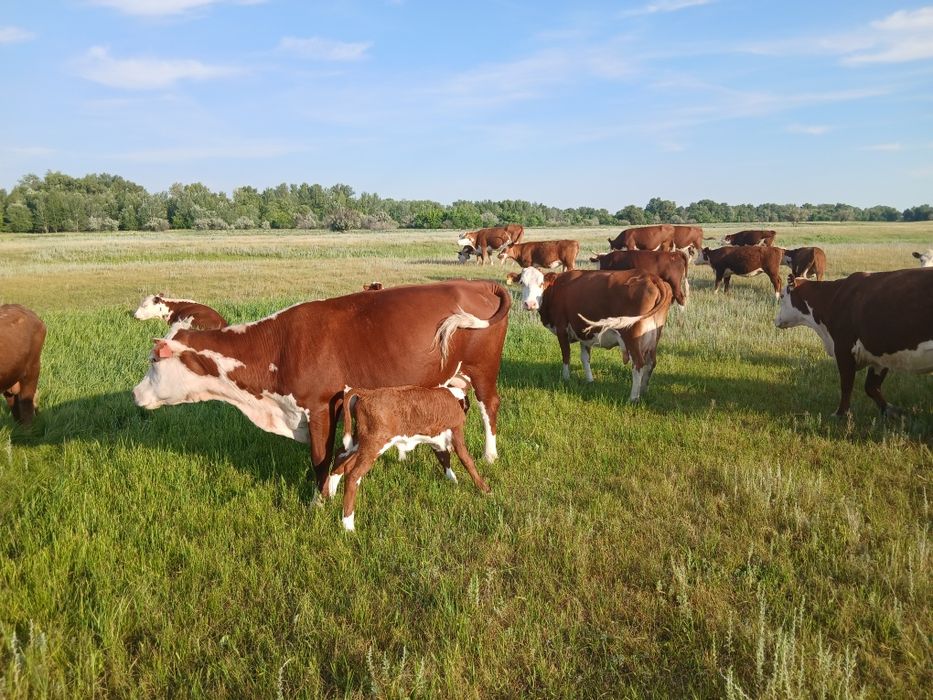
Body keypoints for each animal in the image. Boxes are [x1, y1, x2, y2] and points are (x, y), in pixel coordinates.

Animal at [132, 280, 511, 495]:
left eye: (153, 361)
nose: (135, 393)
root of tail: (478, 284)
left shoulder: (320, 407)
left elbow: (320, 458)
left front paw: (318, 500)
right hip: (450, 375)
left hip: (482, 369)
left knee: (489, 405)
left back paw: (490, 455)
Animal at [328, 371, 490, 531]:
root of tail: (366, 393)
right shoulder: (456, 430)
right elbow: (467, 460)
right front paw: (485, 489)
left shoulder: (436, 437)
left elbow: (444, 457)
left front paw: (454, 481)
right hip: (374, 444)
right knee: (353, 475)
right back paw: (348, 525)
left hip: (359, 442)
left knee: (342, 459)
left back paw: (330, 496)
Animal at [506, 268, 672, 401]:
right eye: (522, 282)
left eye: (541, 283)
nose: (530, 304)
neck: (556, 289)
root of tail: (650, 276)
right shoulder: (583, 334)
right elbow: (585, 358)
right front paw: (590, 380)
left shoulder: (561, 328)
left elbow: (566, 355)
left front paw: (566, 378)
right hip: (654, 336)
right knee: (651, 363)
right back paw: (643, 391)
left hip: (631, 335)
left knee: (638, 363)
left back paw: (633, 397)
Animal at [775, 269, 933, 416]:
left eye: (782, 296)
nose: (775, 320)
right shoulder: (878, 351)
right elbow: (871, 387)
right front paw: (891, 410)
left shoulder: (843, 348)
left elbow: (846, 385)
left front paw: (841, 414)